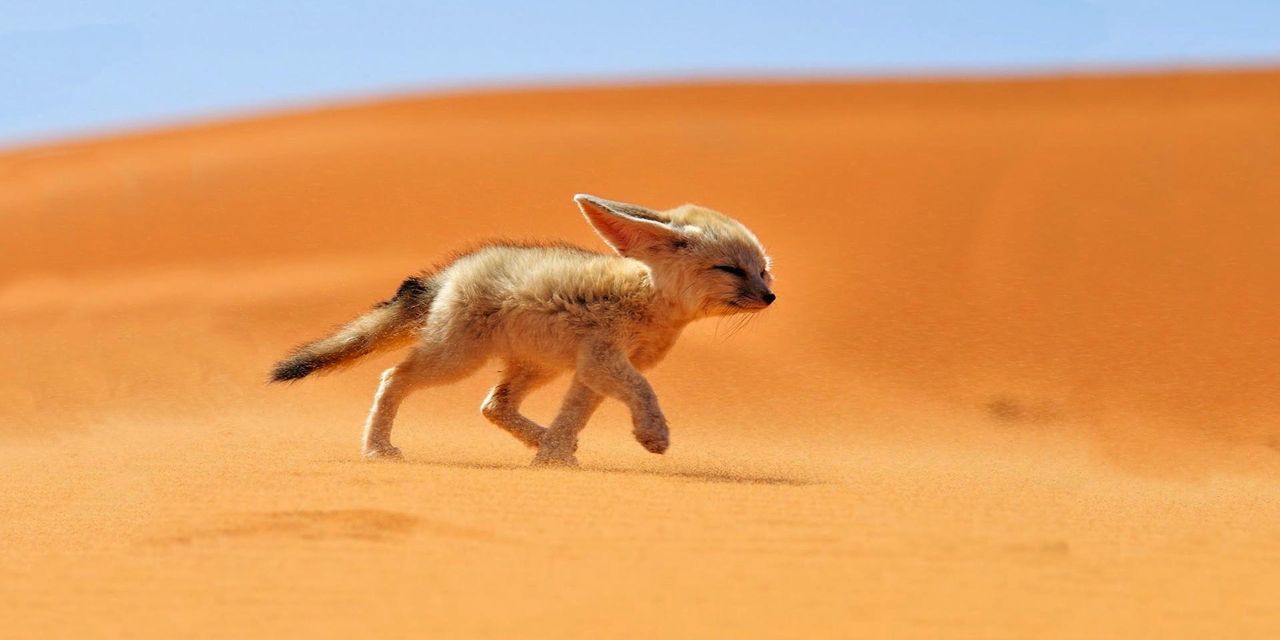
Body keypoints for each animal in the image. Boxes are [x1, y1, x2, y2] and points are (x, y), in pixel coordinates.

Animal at [268, 193, 768, 465]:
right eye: (729, 269)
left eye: (763, 271)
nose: (771, 298)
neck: (648, 299)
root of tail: (449, 274)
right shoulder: (605, 360)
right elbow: (643, 392)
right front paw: (652, 434)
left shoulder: (591, 370)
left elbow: (573, 415)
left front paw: (553, 458)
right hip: (456, 361)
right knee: (394, 377)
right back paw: (377, 448)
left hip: (537, 367)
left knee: (494, 405)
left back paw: (541, 440)